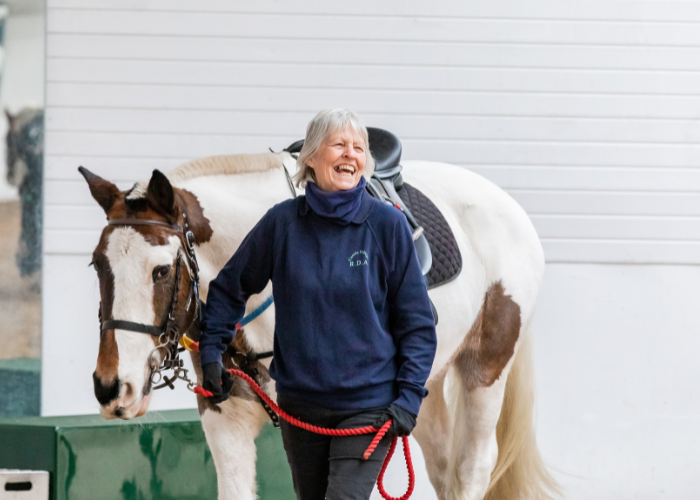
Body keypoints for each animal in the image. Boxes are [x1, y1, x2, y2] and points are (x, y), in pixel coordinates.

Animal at [79, 152, 556, 500]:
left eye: (161, 271)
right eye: (97, 265)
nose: (111, 387)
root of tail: (507, 204)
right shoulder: (227, 421)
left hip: (487, 367)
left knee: (472, 466)